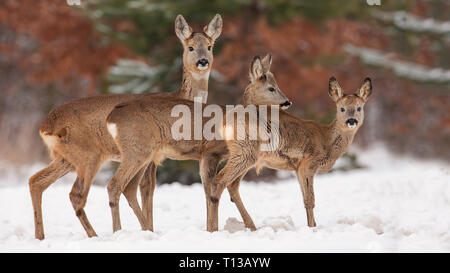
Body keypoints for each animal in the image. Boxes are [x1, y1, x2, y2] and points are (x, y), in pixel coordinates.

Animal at [27, 13, 221, 238]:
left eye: (210, 46)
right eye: (190, 47)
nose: (202, 61)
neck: (182, 98)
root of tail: (45, 125)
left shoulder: (151, 157)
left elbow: (145, 192)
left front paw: (148, 228)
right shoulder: (152, 156)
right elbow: (146, 190)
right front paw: (148, 229)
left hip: (66, 158)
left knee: (36, 181)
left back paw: (41, 236)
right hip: (90, 155)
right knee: (79, 193)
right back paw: (96, 235)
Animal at [105, 54, 292, 232]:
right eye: (271, 88)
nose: (287, 101)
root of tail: (111, 118)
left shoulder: (205, 157)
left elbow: (208, 191)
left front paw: (211, 228)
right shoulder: (210, 151)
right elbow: (211, 189)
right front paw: (213, 229)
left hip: (143, 154)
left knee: (129, 187)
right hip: (136, 150)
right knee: (114, 185)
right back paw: (120, 230)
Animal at [207, 76, 372, 230]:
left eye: (359, 108)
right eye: (341, 108)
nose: (351, 121)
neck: (326, 140)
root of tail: (224, 123)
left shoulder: (297, 169)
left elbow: (305, 198)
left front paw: (313, 225)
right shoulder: (308, 164)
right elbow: (310, 200)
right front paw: (311, 227)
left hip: (247, 155)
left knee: (232, 186)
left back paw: (248, 226)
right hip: (245, 149)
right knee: (219, 181)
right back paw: (213, 229)